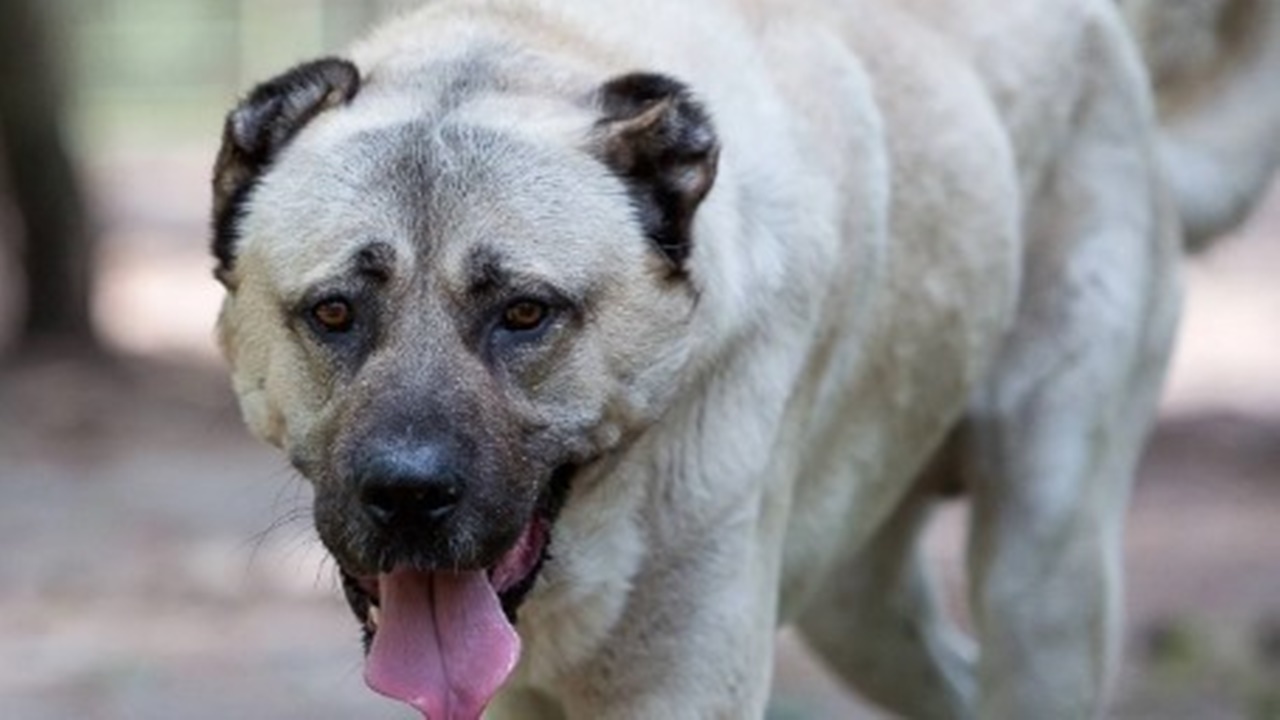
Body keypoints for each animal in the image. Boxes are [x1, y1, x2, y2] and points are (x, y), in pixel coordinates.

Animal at [207, 1, 1269, 717]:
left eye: (525, 312)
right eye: (335, 311)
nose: (408, 493)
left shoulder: (686, 683)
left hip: (1043, 574)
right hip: (861, 607)